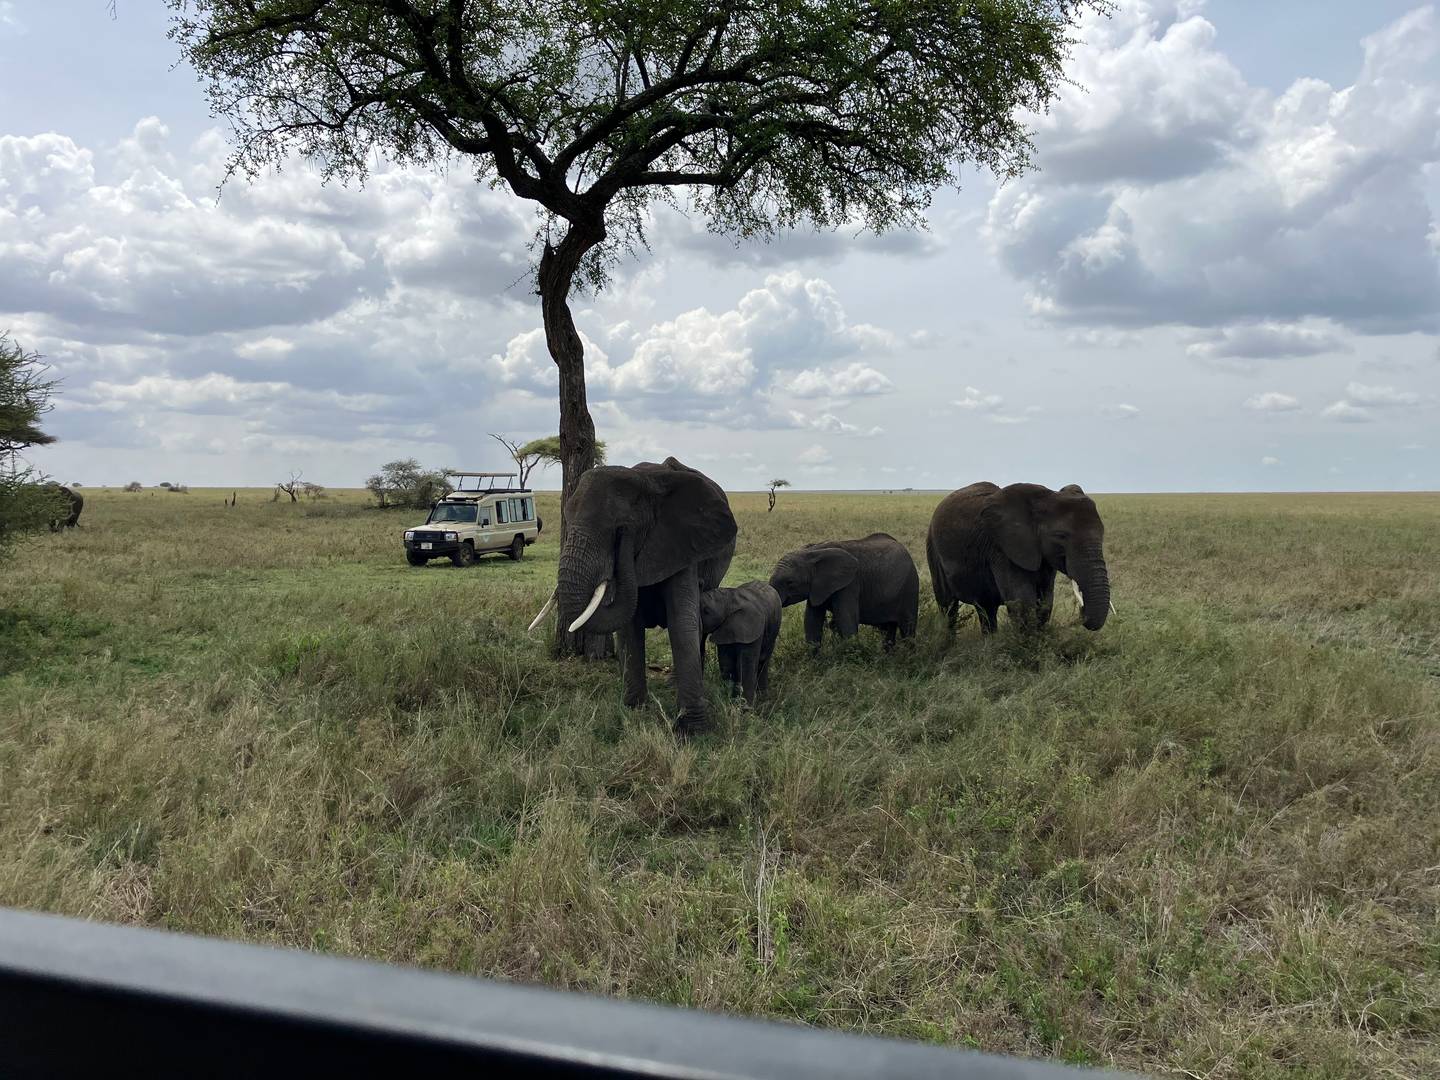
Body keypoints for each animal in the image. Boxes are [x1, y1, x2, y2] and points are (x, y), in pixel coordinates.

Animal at [535, 457, 737, 736]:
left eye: (620, 529)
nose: (624, 544)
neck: (646, 482)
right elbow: (630, 627)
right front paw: (634, 710)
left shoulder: (682, 543)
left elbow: (681, 623)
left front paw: (694, 731)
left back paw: (673, 682)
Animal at [769, 533, 919, 649]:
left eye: (790, 582)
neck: (812, 551)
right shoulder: (817, 587)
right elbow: (812, 621)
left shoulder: (850, 584)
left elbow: (847, 623)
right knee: (890, 628)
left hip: (910, 586)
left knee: (908, 630)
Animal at [926, 481, 1110, 634]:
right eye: (1060, 536)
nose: (1082, 610)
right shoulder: (1002, 549)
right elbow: (1023, 603)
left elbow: (1045, 602)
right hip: (933, 549)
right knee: (948, 606)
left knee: (986, 607)